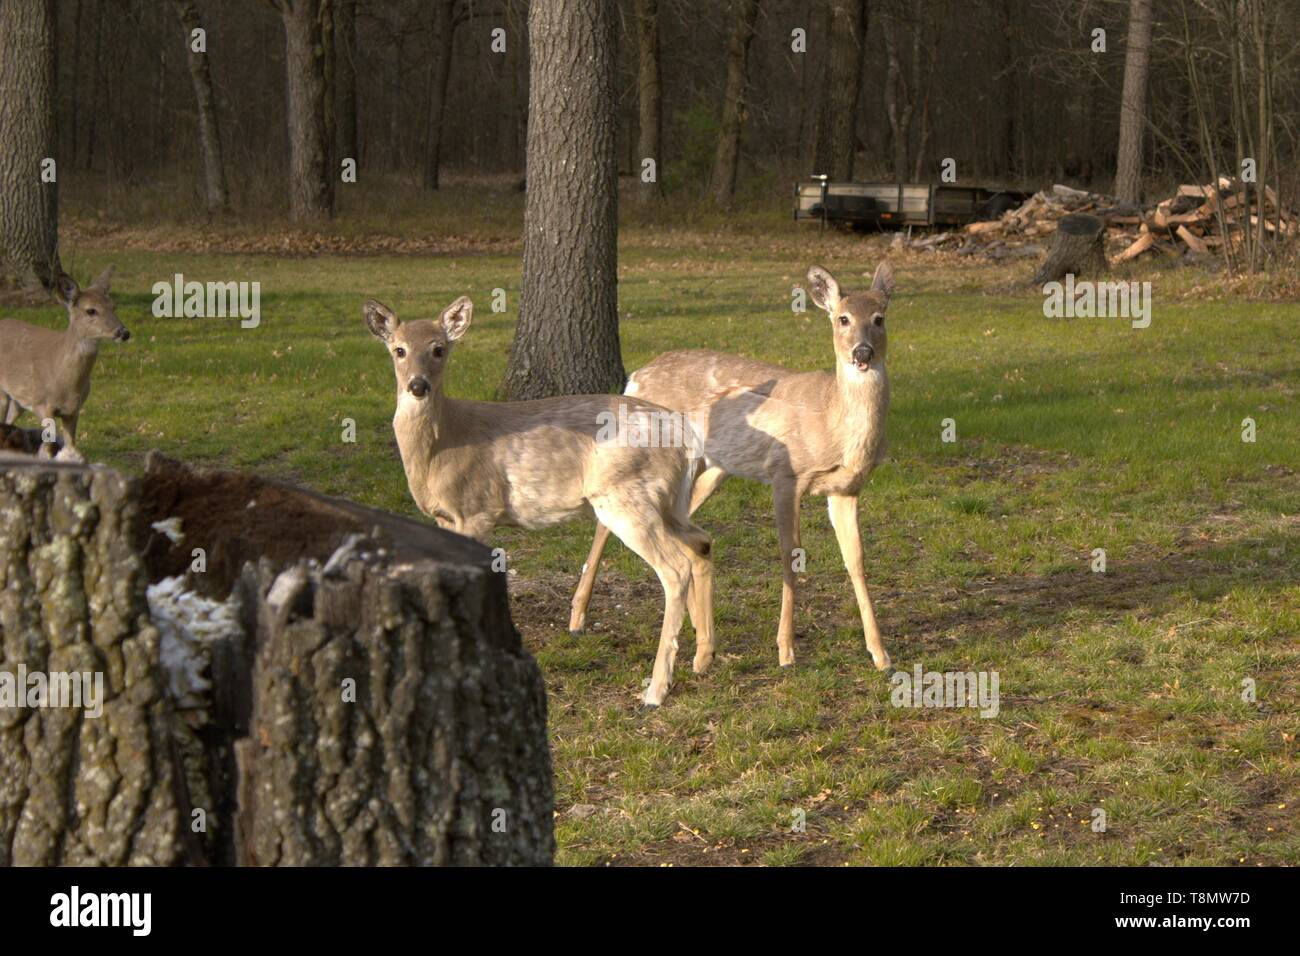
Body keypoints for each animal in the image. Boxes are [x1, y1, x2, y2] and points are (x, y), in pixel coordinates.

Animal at [0, 267, 129, 463]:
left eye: (113, 307)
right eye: (91, 310)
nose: (124, 332)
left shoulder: (73, 410)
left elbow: (70, 446)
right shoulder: (41, 404)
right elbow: (47, 449)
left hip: (18, 399)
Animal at [361, 295, 717, 707]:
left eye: (439, 349)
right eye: (398, 350)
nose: (418, 385)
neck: (442, 445)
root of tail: (686, 438)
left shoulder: (477, 508)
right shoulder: (445, 518)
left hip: (626, 498)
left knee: (675, 568)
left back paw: (657, 689)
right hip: (668, 502)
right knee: (702, 543)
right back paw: (703, 658)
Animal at [574, 265, 899, 676]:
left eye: (879, 318)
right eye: (842, 318)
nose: (862, 352)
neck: (834, 421)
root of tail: (635, 378)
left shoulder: (846, 489)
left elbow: (856, 560)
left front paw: (880, 653)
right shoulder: (785, 475)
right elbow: (790, 555)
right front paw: (786, 650)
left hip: (710, 468)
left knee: (687, 531)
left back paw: (701, 643)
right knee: (610, 519)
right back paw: (579, 618)